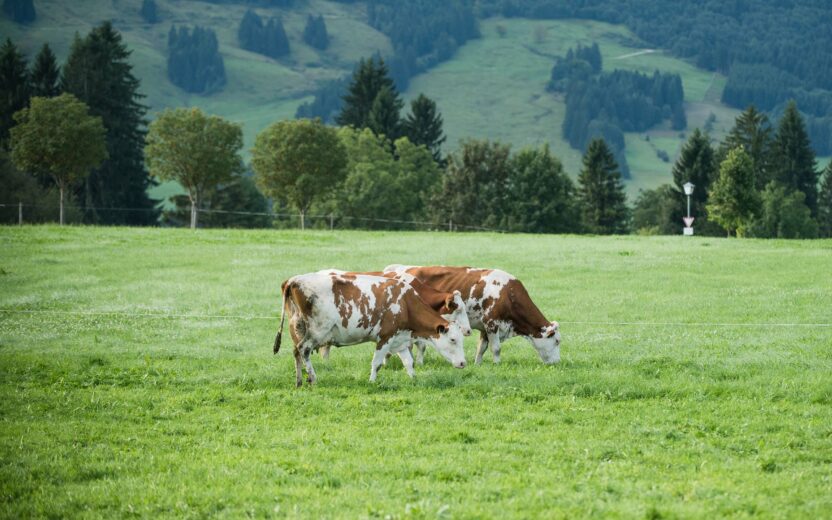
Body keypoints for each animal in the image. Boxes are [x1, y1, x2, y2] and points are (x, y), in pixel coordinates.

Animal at [384, 266, 560, 364]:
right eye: (557, 341)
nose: (557, 362)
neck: (507, 293)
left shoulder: (484, 328)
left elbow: (481, 348)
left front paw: (478, 364)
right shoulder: (491, 323)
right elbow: (496, 348)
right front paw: (497, 364)